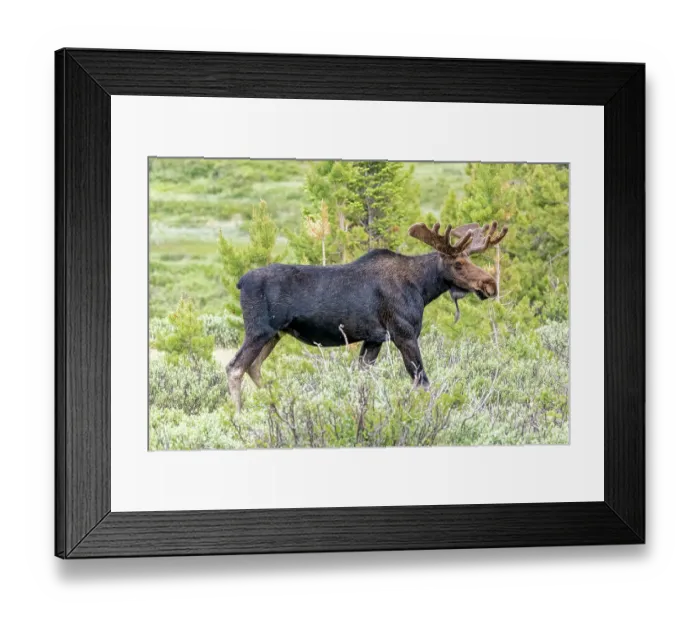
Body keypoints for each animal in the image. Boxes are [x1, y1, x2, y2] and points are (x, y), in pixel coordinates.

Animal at [226, 220, 508, 410]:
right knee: (235, 368)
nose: (490, 285)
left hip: (274, 334)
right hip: (259, 330)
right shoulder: (403, 333)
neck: (422, 288)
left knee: (253, 366)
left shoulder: (373, 339)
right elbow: (422, 381)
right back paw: (239, 414)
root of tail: (240, 282)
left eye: (471, 260)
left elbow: (363, 378)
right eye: (458, 264)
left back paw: (274, 403)